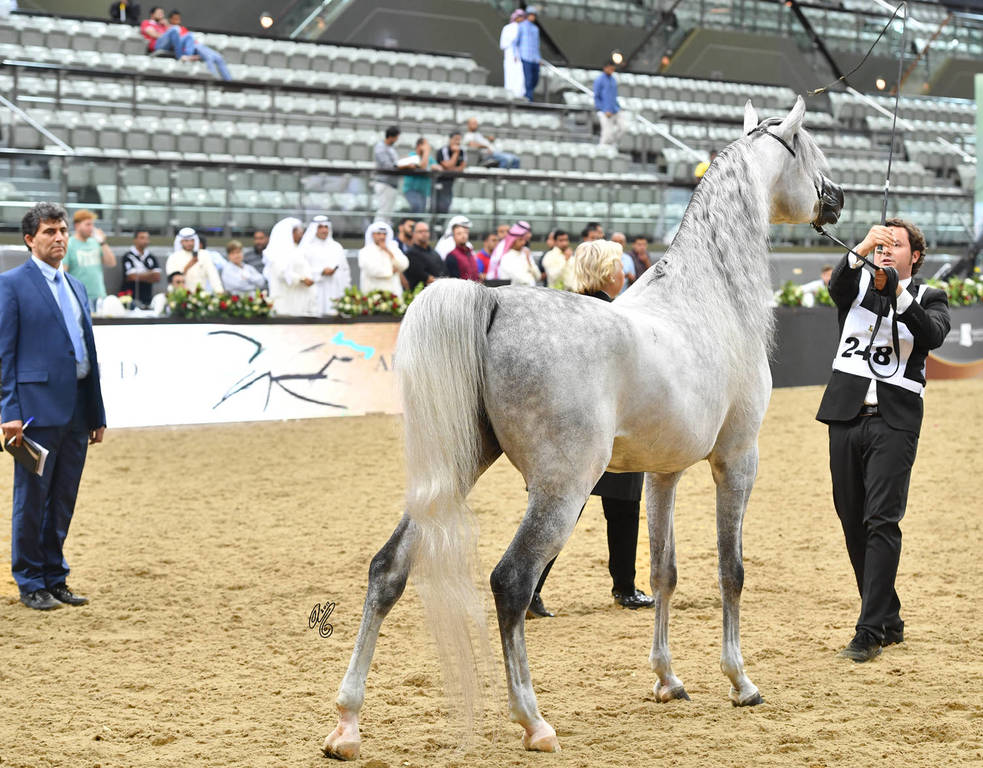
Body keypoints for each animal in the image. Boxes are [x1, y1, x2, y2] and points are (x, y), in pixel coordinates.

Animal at [323, 96, 844, 759]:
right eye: (808, 150)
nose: (837, 198)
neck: (711, 298)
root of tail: (491, 302)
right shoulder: (736, 459)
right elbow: (732, 569)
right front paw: (740, 682)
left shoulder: (664, 473)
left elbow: (663, 571)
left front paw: (667, 680)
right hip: (562, 489)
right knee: (511, 582)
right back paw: (533, 721)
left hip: (456, 472)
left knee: (388, 569)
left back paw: (346, 725)